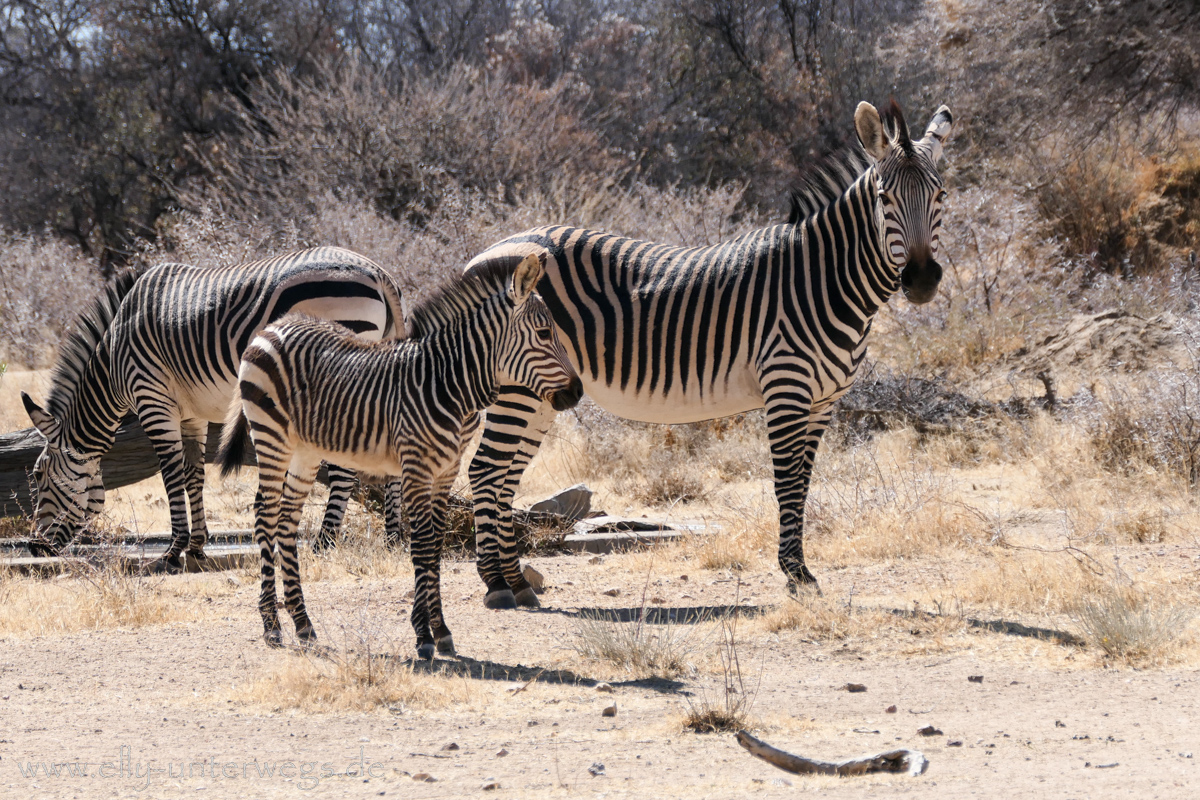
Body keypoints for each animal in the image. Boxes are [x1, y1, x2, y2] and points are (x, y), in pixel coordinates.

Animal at [19, 247, 408, 566]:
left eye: (38, 475)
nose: (34, 546)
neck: (113, 361)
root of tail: (378, 272)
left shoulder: (152, 399)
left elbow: (171, 474)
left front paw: (173, 550)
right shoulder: (190, 413)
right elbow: (194, 472)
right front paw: (197, 546)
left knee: (344, 469)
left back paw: (325, 543)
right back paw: (394, 539)